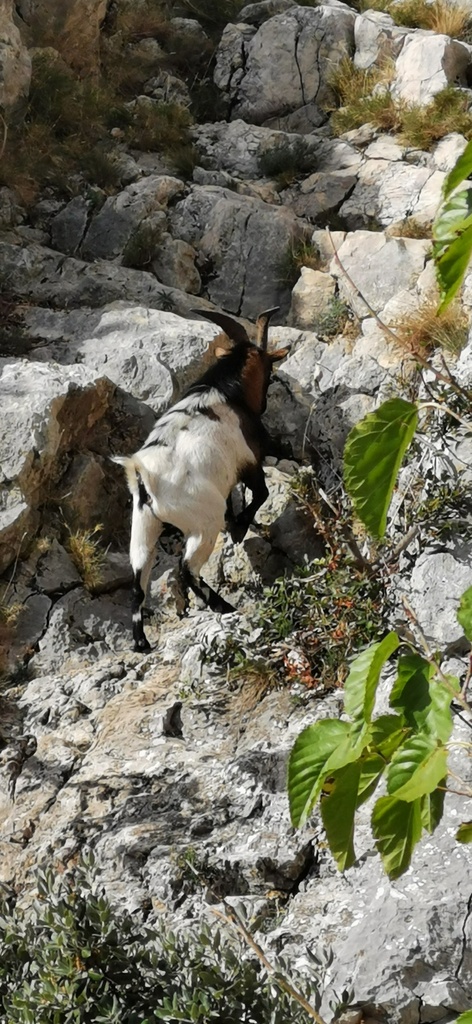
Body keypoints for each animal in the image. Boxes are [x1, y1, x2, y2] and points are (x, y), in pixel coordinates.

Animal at [113, 307, 290, 651]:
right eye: (268, 369)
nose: (264, 403)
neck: (225, 391)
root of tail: (143, 475)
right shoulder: (249, 461)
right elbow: (259, 494)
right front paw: (239, 529)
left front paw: (239, 523)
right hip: (202, 522)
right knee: (186, 568)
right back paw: (223, 605)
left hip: (143, 526)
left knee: (138, 583)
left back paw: (141, 642)